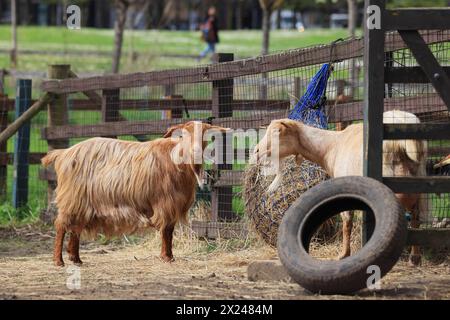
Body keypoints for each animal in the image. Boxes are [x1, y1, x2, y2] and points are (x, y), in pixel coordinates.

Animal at [41, 121, 229, 266]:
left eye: (205, 136)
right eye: (184, 135)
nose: (195, 152)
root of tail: (64, 153)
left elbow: (169, 230)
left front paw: (169, 256)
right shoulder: (165, 202)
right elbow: (167, 231)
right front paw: (167, 257)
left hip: (82, 202)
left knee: (76, 227)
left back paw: (76, 259)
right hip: (72, 197)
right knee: (61, 225)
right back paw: (58, 261)